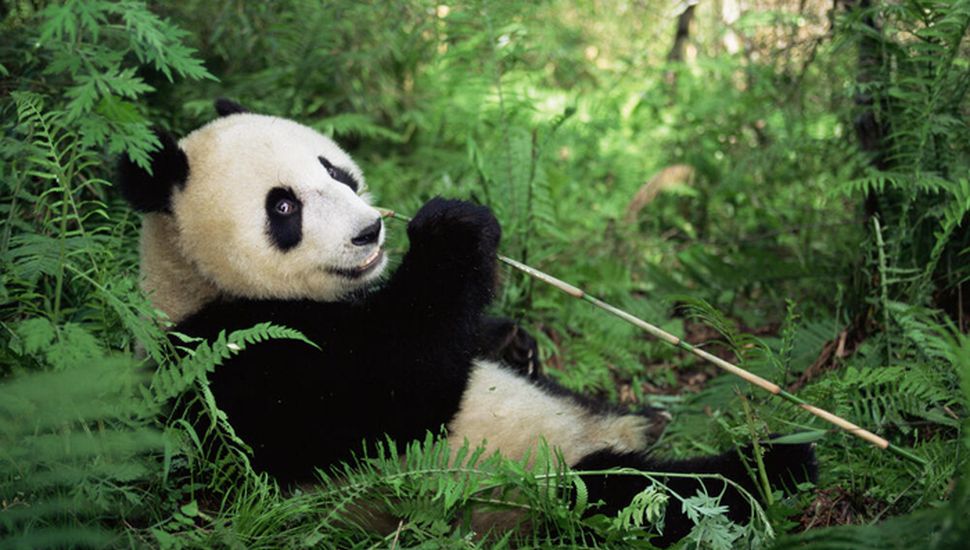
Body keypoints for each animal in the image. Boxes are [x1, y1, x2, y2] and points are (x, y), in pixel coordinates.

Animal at [118, 99, 817, 546]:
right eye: (283, 207)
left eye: (335, 170)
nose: (370, 232)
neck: (194, 280)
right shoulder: (230, 361)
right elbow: (392, 398)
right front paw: (454, 230)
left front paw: (513, 338)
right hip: (533, 488)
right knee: (646, 494)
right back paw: (776, 465)